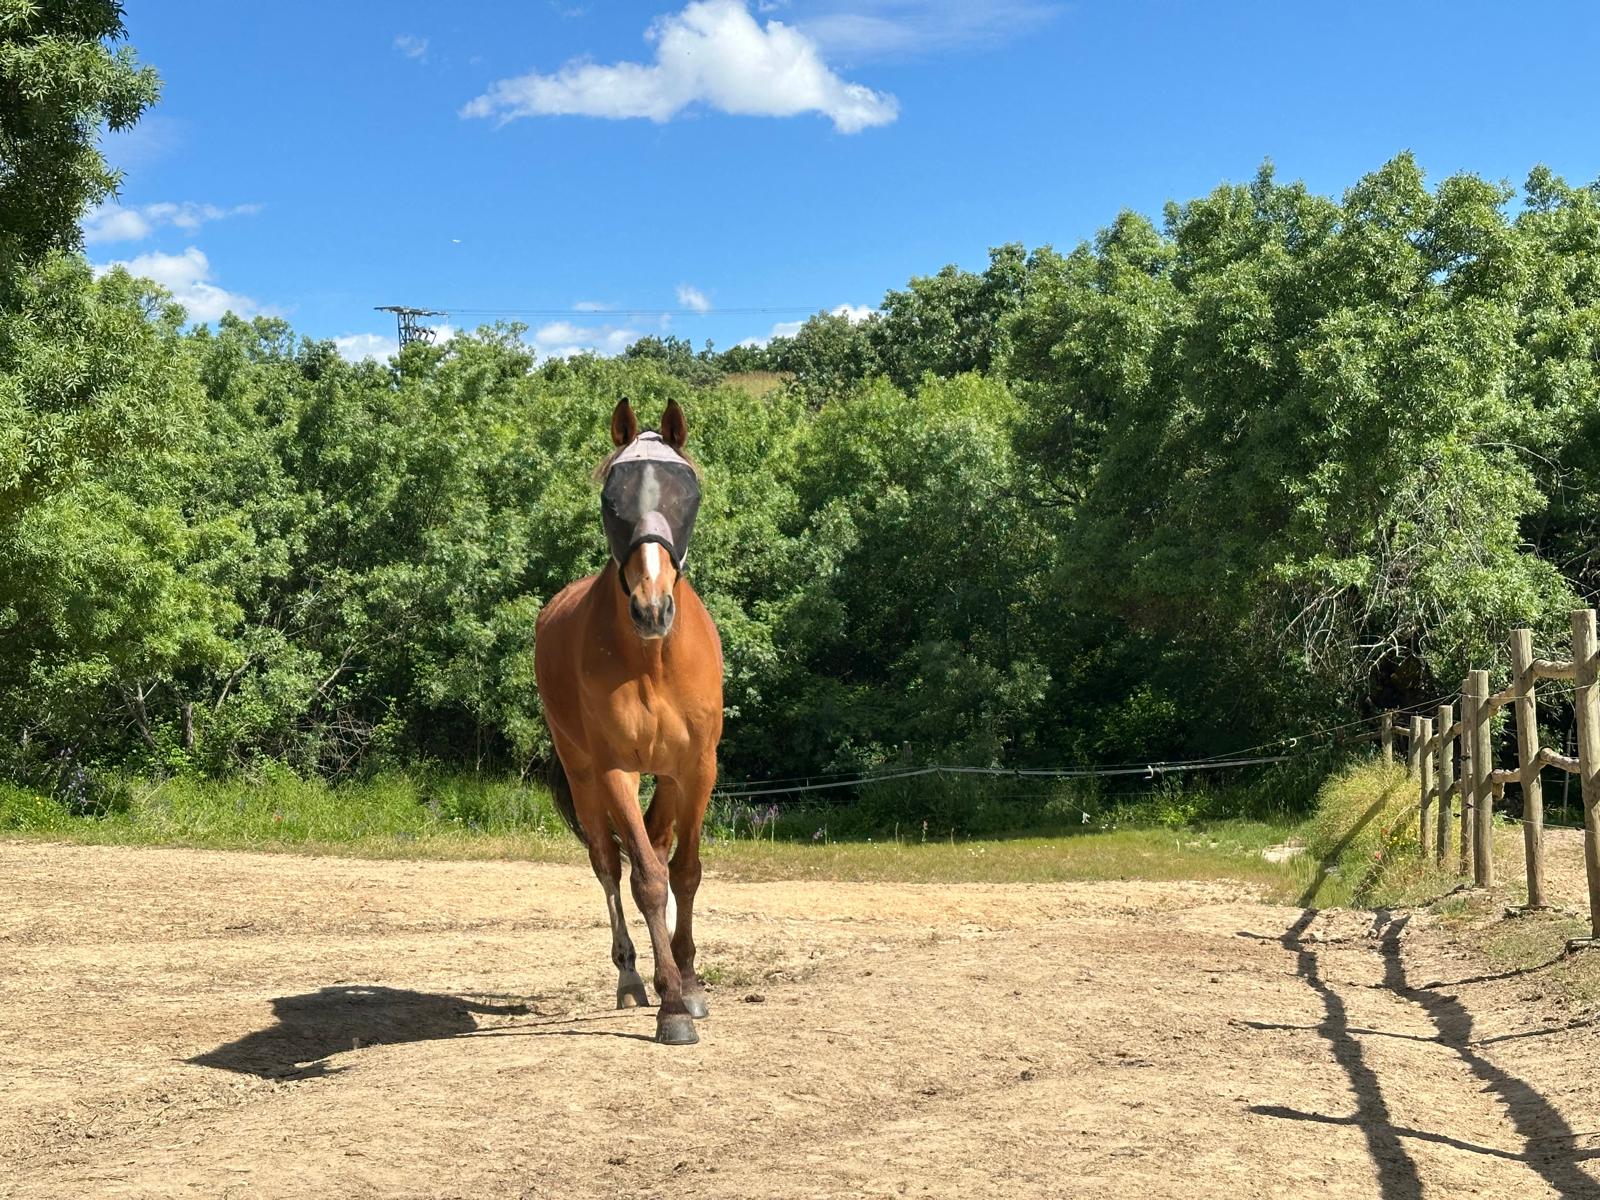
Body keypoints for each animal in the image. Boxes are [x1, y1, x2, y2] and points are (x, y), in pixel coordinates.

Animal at [533, 396, 724, 1046]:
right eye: (612, 499)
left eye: (685, 493)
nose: (651, 607)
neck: (653, 659)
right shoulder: (615, 770)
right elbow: (644, 879)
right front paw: (670, 1006)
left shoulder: (696, 770)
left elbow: (684, 872)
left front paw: (689, 985)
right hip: (583, 775)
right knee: (606, 864)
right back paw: (632, 977)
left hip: (663, 777)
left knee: (660, 849)